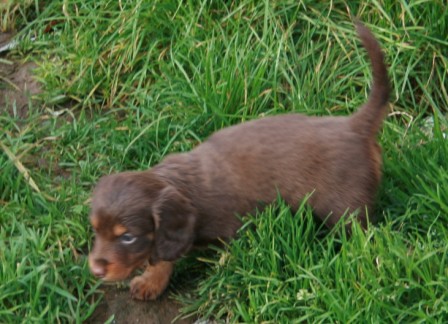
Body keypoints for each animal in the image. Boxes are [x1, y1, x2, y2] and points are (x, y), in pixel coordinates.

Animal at [88, 22, 388, 302]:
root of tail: (354, 126)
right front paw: (151, 282)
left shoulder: (231, 228)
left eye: (127, 237)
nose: (95, 271)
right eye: (96, 231)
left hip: (345, 208)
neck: (180, 182)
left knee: (360, 235)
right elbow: (162, 256)